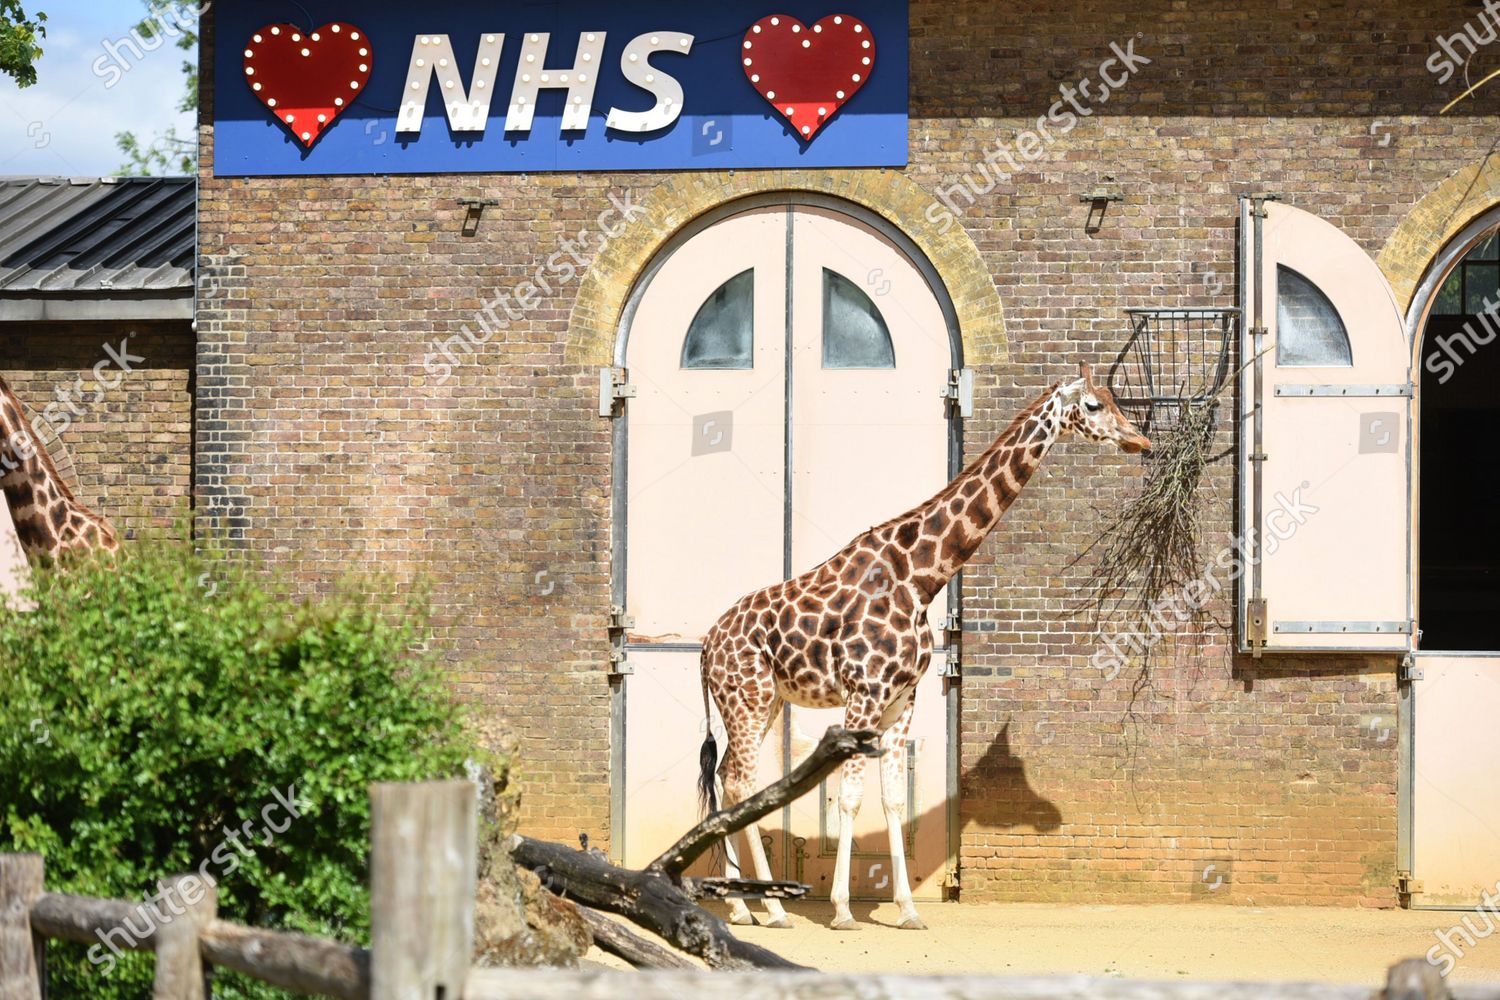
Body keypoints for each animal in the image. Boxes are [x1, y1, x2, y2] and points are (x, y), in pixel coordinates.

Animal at [696, 362, 1150, 931]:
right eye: (1093, 405)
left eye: (1116, 399)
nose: (1141, 440)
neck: (921, 577)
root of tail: (706, 644)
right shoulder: (864, 694)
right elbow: (848, 798)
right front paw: (843, 909)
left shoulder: (901, 700)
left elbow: (892, 800)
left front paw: (908, 909)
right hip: (748, 699)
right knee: (740, 781)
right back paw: (772, 909)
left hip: (761, 701)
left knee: (729, 782)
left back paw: (740, 906)